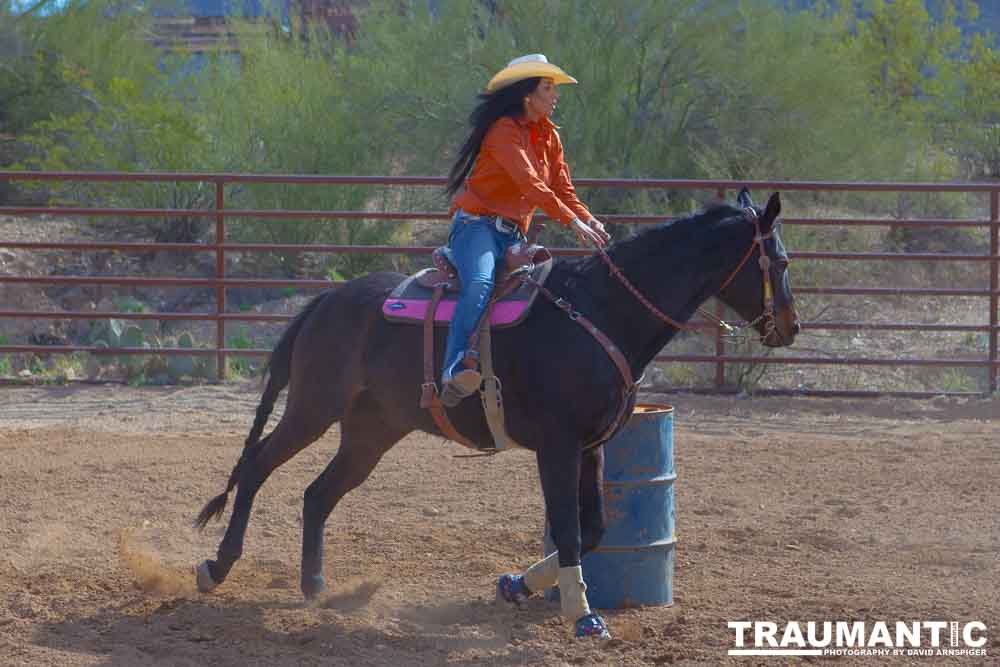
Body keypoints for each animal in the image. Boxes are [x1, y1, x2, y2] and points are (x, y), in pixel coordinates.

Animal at [191, 187, 800, 636]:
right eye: (781, 259)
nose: (791, 327)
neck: (601, 310)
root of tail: (324, 300)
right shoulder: (556, 446)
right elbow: (569, 529)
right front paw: (584, 617)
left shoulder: (591, 447)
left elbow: (594, 529)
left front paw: (517, 586)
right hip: (313, 407)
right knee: (256, 467)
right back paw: (217, 566)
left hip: (372, 431)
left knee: (317, 494)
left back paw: (315, 588)